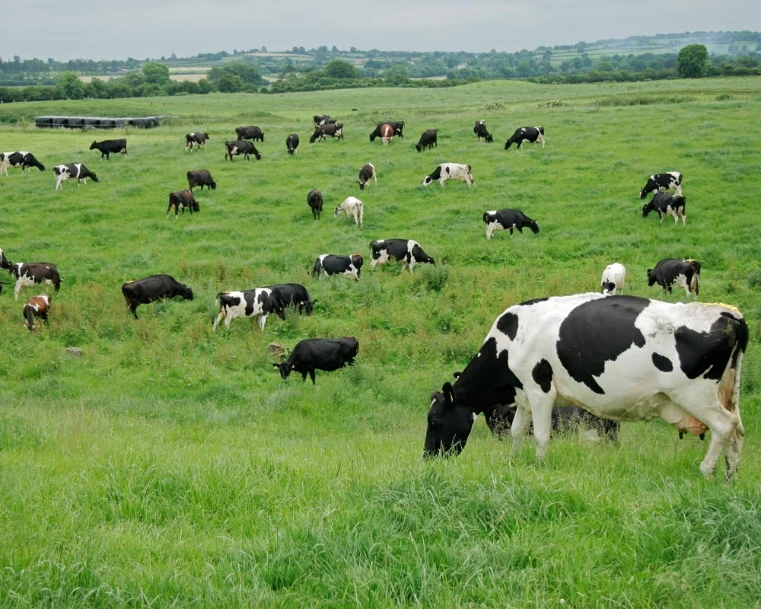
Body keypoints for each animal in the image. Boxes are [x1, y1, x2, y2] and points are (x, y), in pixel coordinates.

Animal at [423, 293, 748, 480]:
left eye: (434, 420)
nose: (427, 457)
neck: (510, 340)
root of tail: (727, 313)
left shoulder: (540, 390)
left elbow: (540, 435)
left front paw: (538, 466)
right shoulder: (524, 394)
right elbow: (517, 431)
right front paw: (513, 462)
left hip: (694, 394)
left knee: (724, 426)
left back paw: (706, 471)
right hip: (728, 395)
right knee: (737, 432)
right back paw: (729, 477)